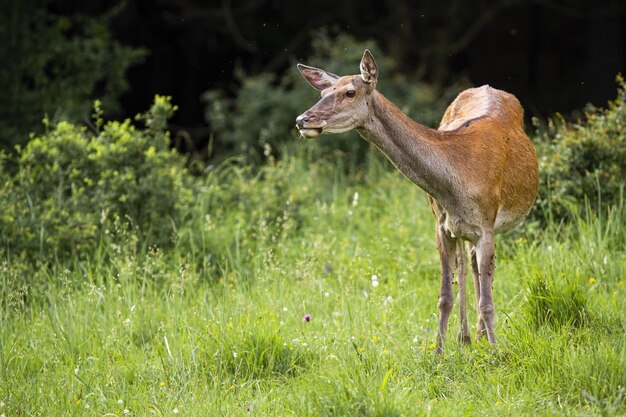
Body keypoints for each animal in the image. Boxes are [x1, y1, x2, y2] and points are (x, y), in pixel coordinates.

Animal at [294, 50, 536, 352]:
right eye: (323, 92)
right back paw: (467, 337)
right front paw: (439, 354)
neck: (459, 179)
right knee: (465, 268)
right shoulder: (441, 227)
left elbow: (487, 303)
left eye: (349, 92)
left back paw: (479, 338)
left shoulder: (486, 226)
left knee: (477, 274)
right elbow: (444, 297)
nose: (302, 119)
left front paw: (495, 353)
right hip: (457, 229)